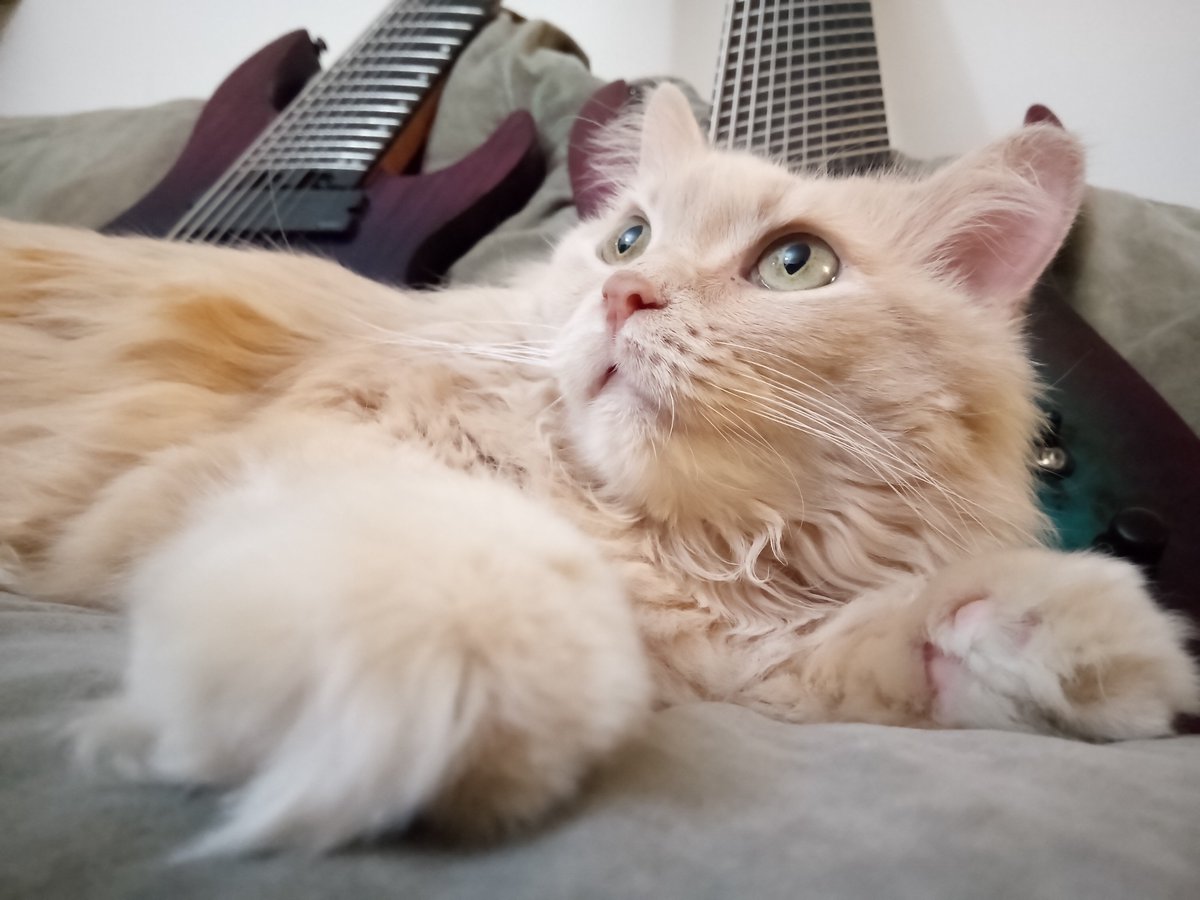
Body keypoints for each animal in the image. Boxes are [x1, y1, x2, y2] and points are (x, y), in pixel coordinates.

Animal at [0, 86, 1195, 859]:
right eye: (628, 241)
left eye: (794, 264)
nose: (628, 296)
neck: (678, 543)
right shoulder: (297, 439)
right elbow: (445, 536)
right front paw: (443, 672)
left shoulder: (750, 652)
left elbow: (886, 645)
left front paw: (1064, 647)